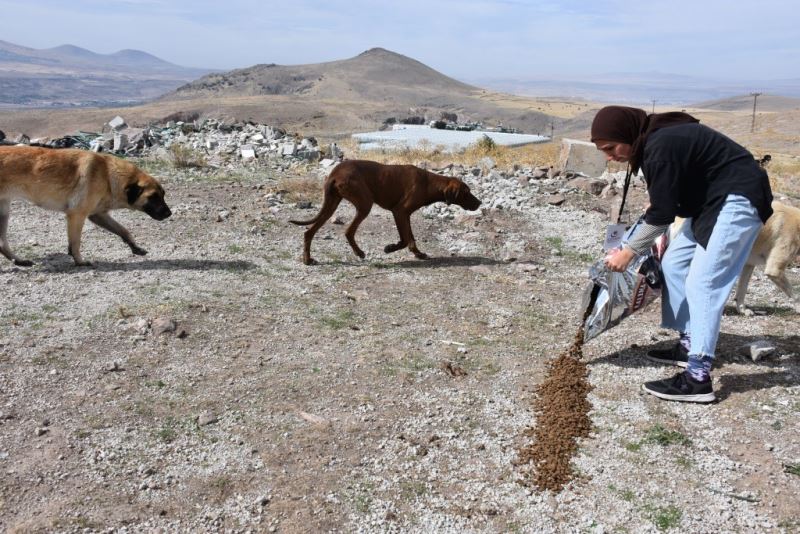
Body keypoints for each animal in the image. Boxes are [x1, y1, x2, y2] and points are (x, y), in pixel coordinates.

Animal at [0, 146, 170, 266]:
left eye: (163, 195)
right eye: (153, 197)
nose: (169, 213)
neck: (107, 174)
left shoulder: (98, 215)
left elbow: (123, 230)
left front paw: (135, 247)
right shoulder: (77, 215)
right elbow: (75, 243)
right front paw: (79, 262)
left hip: (4, 212)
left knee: (2, 244)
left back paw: (19, 261)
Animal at [290, 160, 482, 266]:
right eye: (467, 192)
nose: (480, 203)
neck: (429, 183)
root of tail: (335, 173)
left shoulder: (404, 215)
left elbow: (409, 239)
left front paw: (417, 253)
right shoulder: (400, 212)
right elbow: (405, 240)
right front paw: (390, 248)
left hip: (331, 204)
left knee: (309, 232)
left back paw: (307, 260)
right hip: (364, 204)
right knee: (348, 231)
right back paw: (359, 253)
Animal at [592, 105, 772, 406]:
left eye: (606, 147)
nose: (606, 158)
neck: (644, 134)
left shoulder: (664, 157)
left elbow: (662, 210)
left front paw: (621, 258)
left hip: (729, 223)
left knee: (703, 288)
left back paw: (690, 385)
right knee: (675, 268)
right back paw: (680, 353)